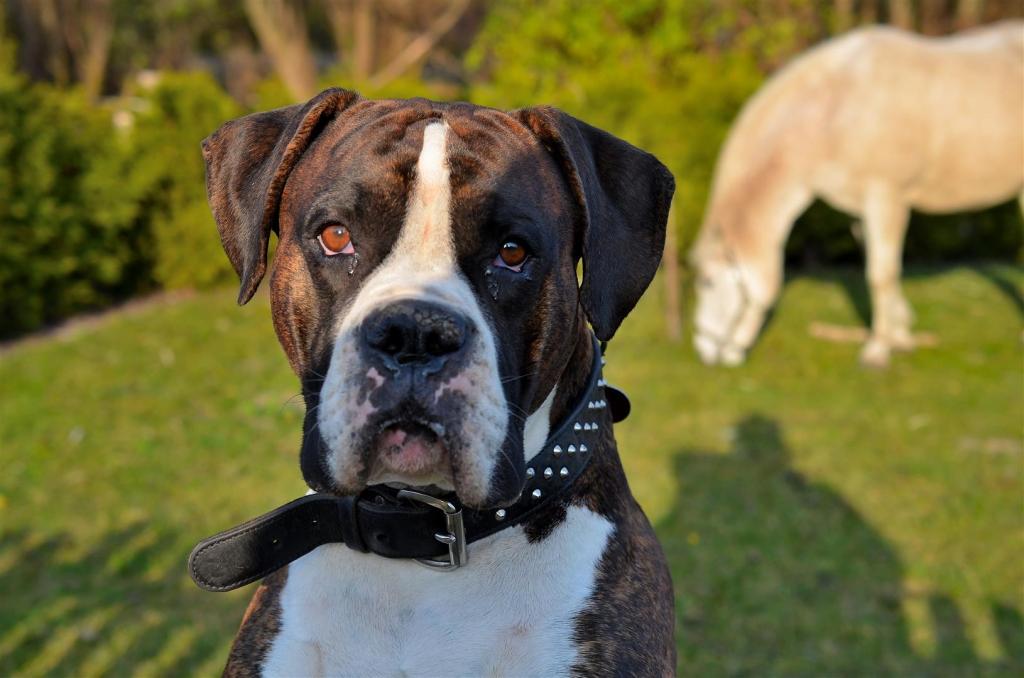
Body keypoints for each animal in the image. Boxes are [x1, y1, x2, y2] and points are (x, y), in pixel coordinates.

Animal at [691, 21, 1023, 367]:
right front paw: (900, 335)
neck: (834, 110)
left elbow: (880, 274)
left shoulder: (886, 198)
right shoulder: (863, 210)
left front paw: (877, 350)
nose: (704, 351)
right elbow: (881, 268)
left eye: (707, 282)